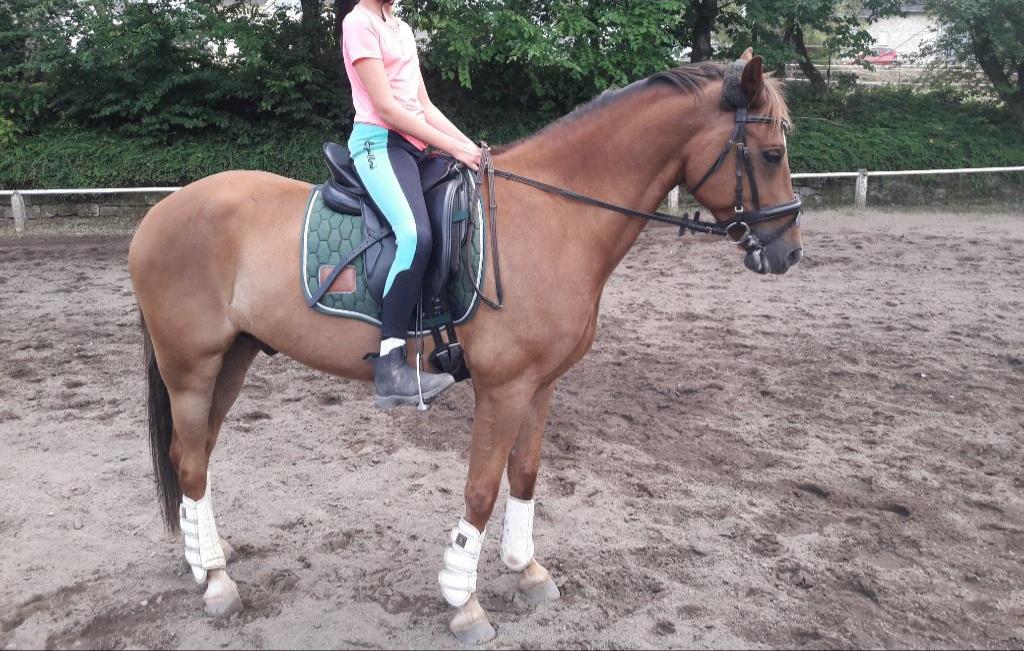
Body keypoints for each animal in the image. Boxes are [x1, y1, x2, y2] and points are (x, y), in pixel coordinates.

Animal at [128, 49, 803, 644]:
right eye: (772, 153)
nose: (789, 253)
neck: (554, 216)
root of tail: (163, 211)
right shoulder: (503, 387)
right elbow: (480, 490)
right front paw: (464, 602)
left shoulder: (542, 383)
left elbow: (524, 474)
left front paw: (528, 572)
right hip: (191, 368)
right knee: (191, 462)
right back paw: (217, 583)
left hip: (232, 359)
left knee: (193, 455)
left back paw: (201, 558)